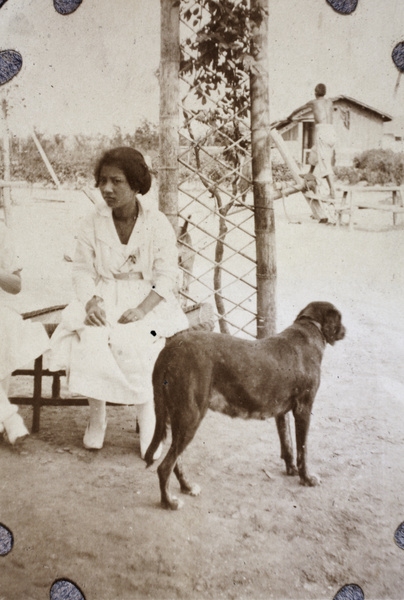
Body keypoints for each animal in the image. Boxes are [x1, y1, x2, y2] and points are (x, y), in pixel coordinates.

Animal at [144, 302, 344, 508]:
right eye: (339, 318)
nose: (344, 330)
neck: (310, 328)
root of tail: (169, 350)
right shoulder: (304, 409)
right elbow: (302, 450)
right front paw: (306, 478)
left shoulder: (282, 412)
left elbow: (287, 443)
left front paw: (291, 469)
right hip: (190, 419)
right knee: (165, 467)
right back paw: (169, 502)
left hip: (179, 420)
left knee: (177, 461)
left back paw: (187, 486)